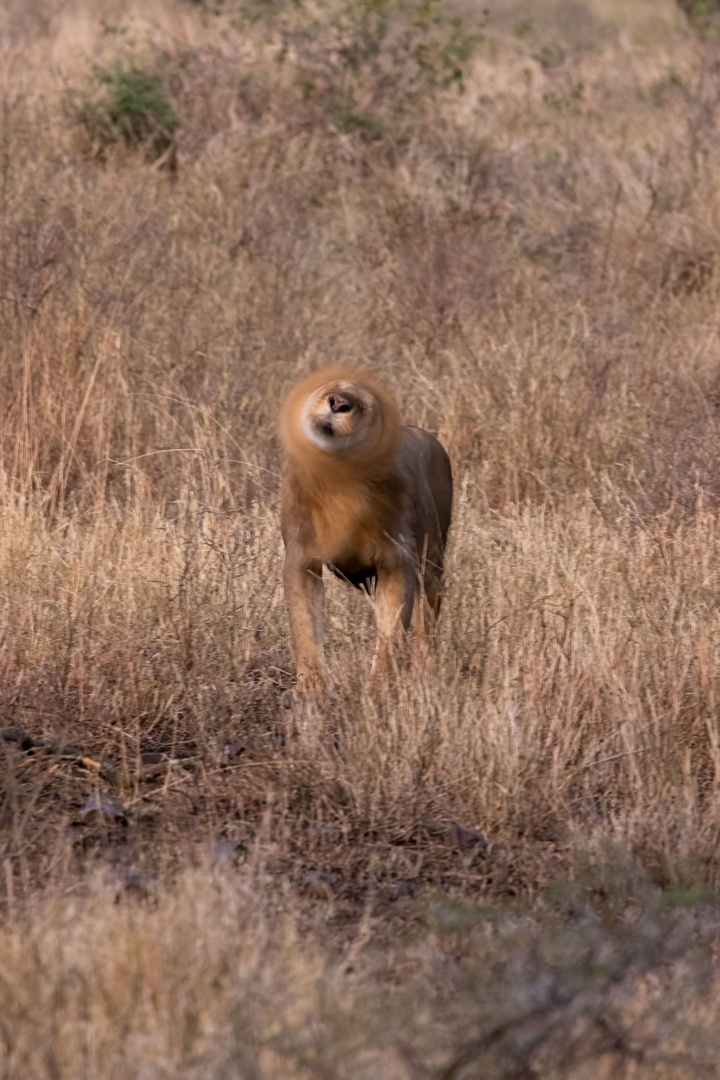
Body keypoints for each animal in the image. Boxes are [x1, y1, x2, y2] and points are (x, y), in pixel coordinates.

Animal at [280, 369, 453, 691]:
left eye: (367, 405)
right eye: (329, 389)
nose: (337, 404)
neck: (340, 482)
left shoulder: (396, 562)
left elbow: (391, 634)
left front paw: (378, 689)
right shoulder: (302, 560)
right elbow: (304, 628)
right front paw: (314, 690)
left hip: (431, 563)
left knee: (426, 625)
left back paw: (424, 676)